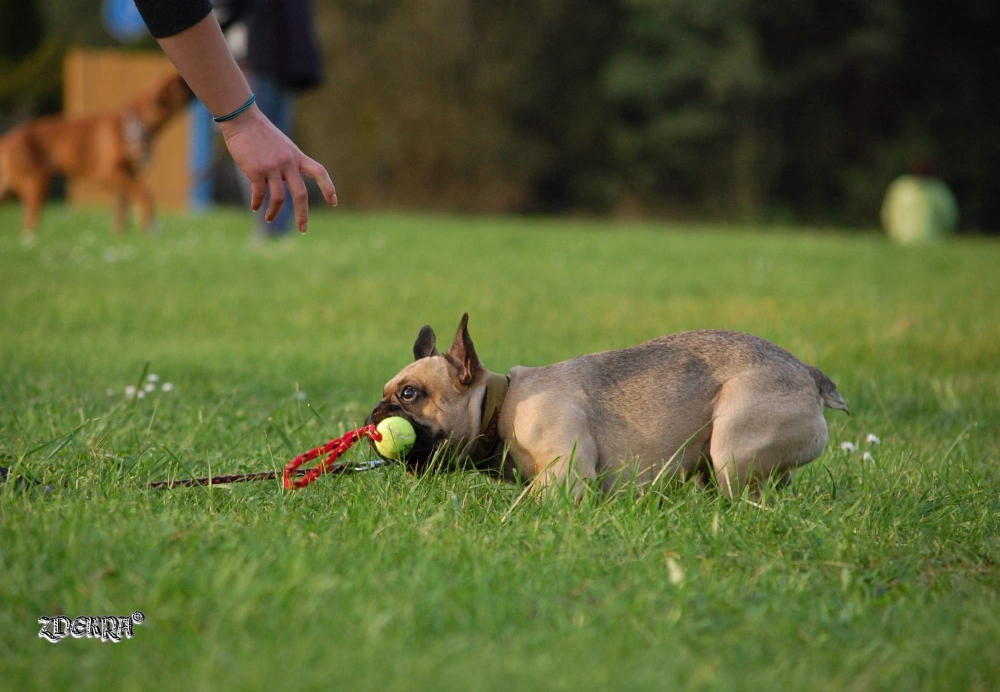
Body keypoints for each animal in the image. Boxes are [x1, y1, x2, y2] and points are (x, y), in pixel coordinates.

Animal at [0, 73, 191, 234]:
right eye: (181, 82)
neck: (134, 125)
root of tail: (8, 139)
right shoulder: (108, 173)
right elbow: (145, 194)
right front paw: (149, 227)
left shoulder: (127, 177)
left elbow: (123, 208)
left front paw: (121, 233)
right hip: (37, 183)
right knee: (29, 223)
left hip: (10, 188)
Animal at [372, 316, 848, 500]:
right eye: (387, 392)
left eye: (410, 394)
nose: (375, 414)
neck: (500, 408)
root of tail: (809, 374)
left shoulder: (565, 475)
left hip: (732, 446)